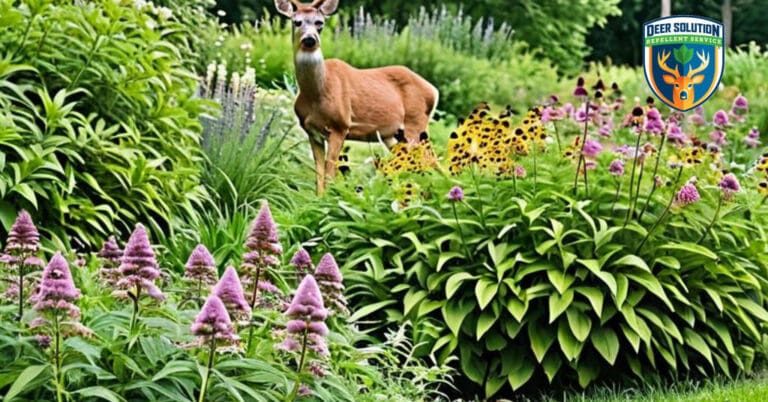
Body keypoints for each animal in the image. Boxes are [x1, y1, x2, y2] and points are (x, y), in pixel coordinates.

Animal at [274, 0, 439, 194]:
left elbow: (329, 173)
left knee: (430, 162)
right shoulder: (312, 131)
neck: (316, 95)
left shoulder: (340, 125)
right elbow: (318, 174)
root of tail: (434, 90)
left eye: (320, 23)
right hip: (394, 135)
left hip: (415, 124)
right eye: (297, 22)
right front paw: (318, 198)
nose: (310, 39)